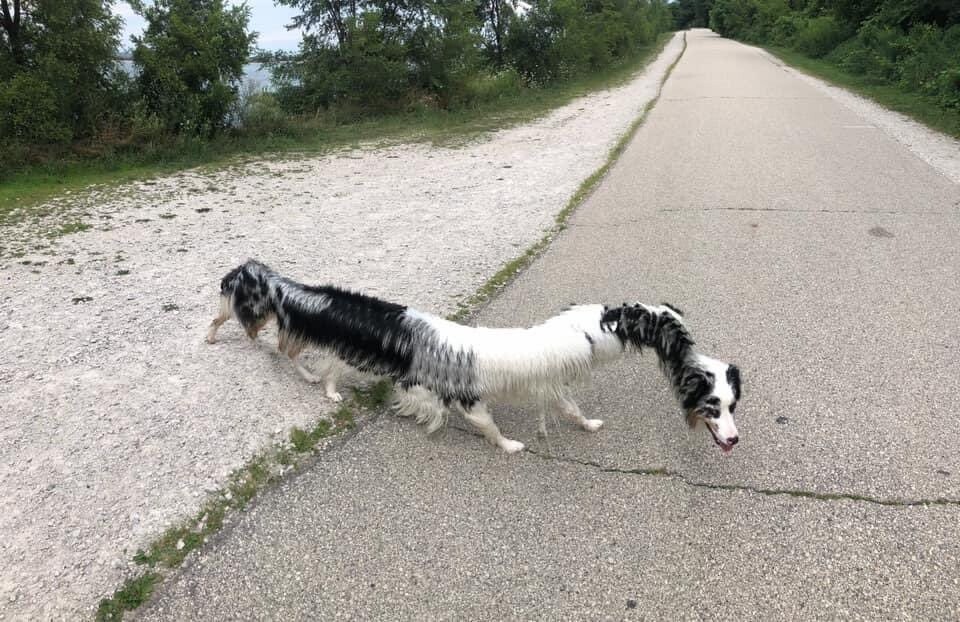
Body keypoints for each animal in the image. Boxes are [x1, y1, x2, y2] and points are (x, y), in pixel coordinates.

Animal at [204, 260, 744, 456]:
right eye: (714, 404)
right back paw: (332, 392)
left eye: (730, 402)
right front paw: (512, 447)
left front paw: (588, 426)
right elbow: (491, 427)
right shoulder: (472, 397)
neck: (592, 330)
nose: (733, 438)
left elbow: (571, 410)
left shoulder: (553, 386)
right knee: (327, 367)